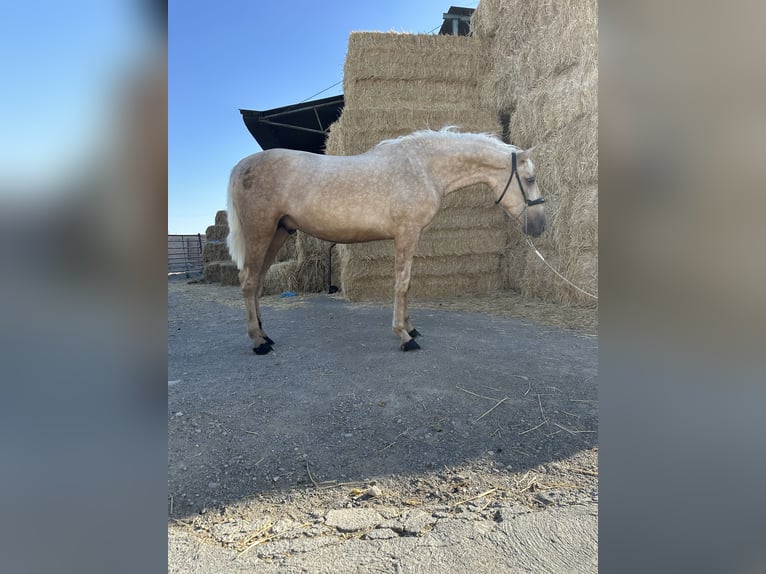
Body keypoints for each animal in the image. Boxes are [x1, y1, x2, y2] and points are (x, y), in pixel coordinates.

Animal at [226, 126, 544, 356]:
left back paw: (265, 335)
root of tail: (241, 166)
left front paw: (411, 328)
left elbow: (407, 284)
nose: (540, 225)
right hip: (260, 231)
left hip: (278, 233)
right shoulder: (406, 233)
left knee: (258, 281)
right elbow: (402, 283)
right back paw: (258, 342)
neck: (423, 167)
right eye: (530, 179)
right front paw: (404, 336)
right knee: (248, 281)